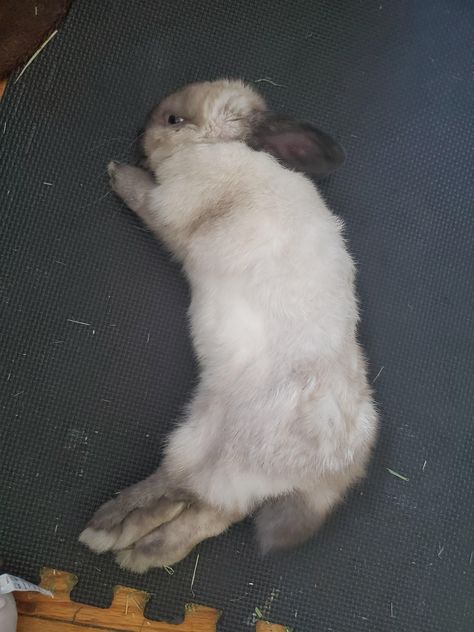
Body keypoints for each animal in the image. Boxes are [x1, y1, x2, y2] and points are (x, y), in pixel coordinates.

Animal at [80, 79, 378, 572]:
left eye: (174, 119)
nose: (139, 135)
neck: (218, 147)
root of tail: (332, 469)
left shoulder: (170, 204)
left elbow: (144, 198)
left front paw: (118, 173)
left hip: (207, 445)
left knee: (182, 489)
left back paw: (110, 532)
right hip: (220, 454)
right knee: (207, 510)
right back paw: (138, 549)